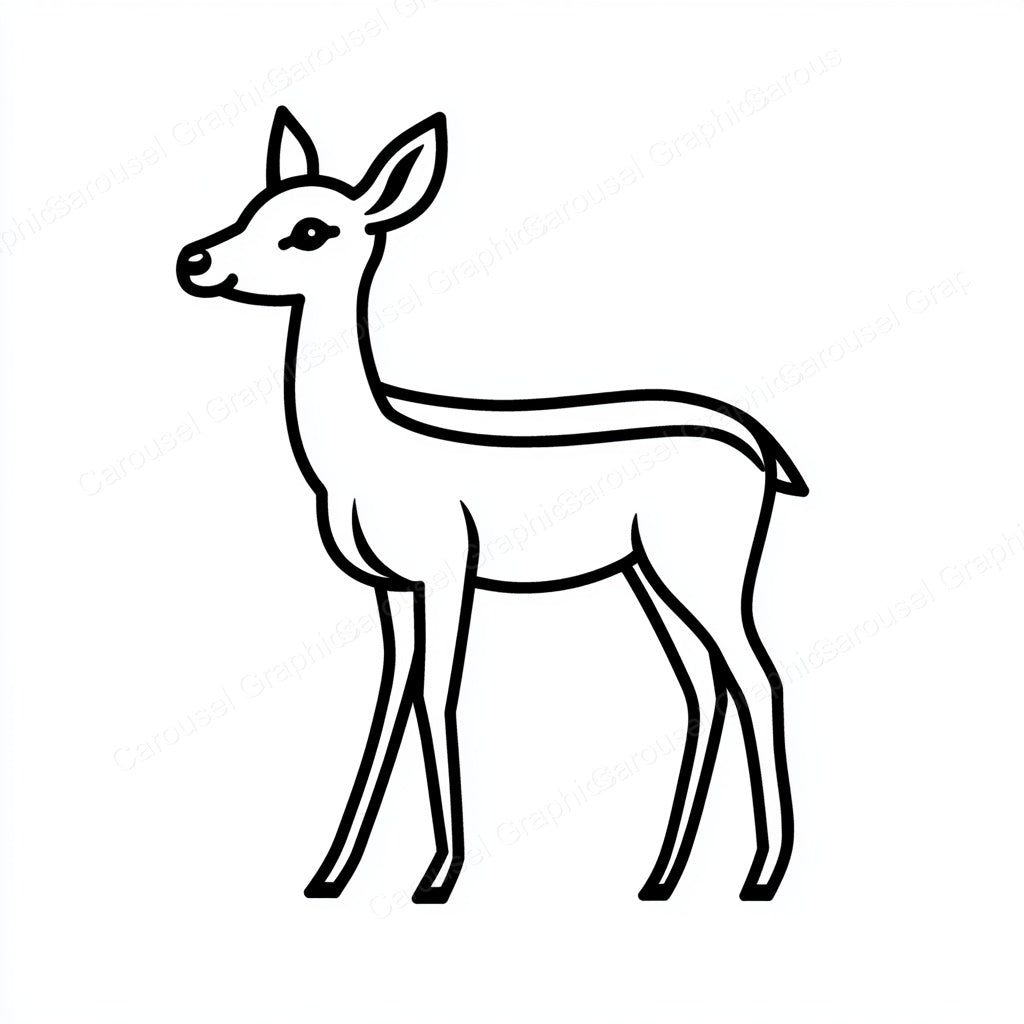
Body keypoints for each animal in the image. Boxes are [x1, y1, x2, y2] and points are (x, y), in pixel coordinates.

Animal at [176, 108, 809, 904]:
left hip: (703, 568)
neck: (364, 452)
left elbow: (437, 696)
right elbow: (391, 699)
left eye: (311, 229)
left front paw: (437, 878)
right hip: (646, 573)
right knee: (704, 686)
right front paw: (330, 875)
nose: (195, 261)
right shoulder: (389, 588)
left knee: (757, 677)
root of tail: (758, 444)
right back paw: (660, 877)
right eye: (254, 206)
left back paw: (761, 875)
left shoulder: (447, 571)